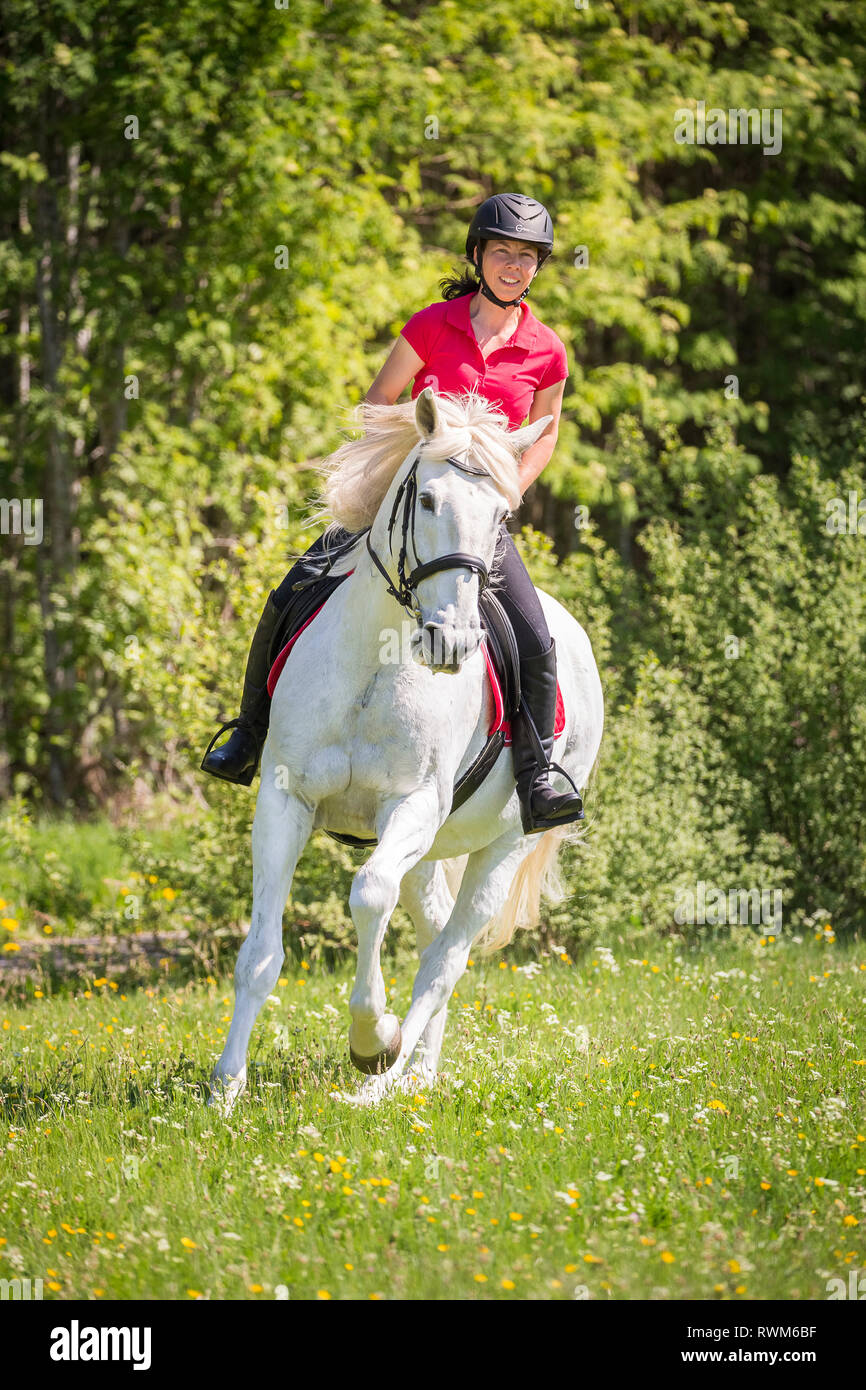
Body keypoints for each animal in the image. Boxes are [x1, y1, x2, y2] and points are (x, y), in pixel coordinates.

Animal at [209, 389, 603, 1106]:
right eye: (427, 500)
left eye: (501, 515)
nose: (452, 640)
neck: (374, 663)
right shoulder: (285, 802)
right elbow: (260, 954)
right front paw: (225, 1088)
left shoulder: (410, 807)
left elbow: (368, 895)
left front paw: (372, 1038)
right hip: (430, 852)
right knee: (432, 934)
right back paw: (419, 1072)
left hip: (504, 844)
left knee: (446, 956)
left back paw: (389, 1079)